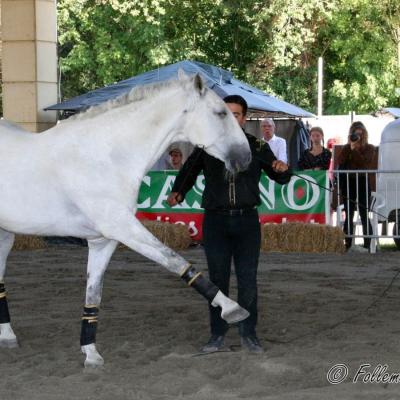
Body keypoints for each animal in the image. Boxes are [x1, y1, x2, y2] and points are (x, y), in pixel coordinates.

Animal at [0, 73, 250, 368]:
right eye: (221, 113)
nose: (245, 157)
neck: (104, 157)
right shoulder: (123, 228)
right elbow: (174, 260)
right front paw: (232, 308)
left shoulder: (103, 241)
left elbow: (93, 293)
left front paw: (91, 353)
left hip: (5, 234)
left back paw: (7, 336)